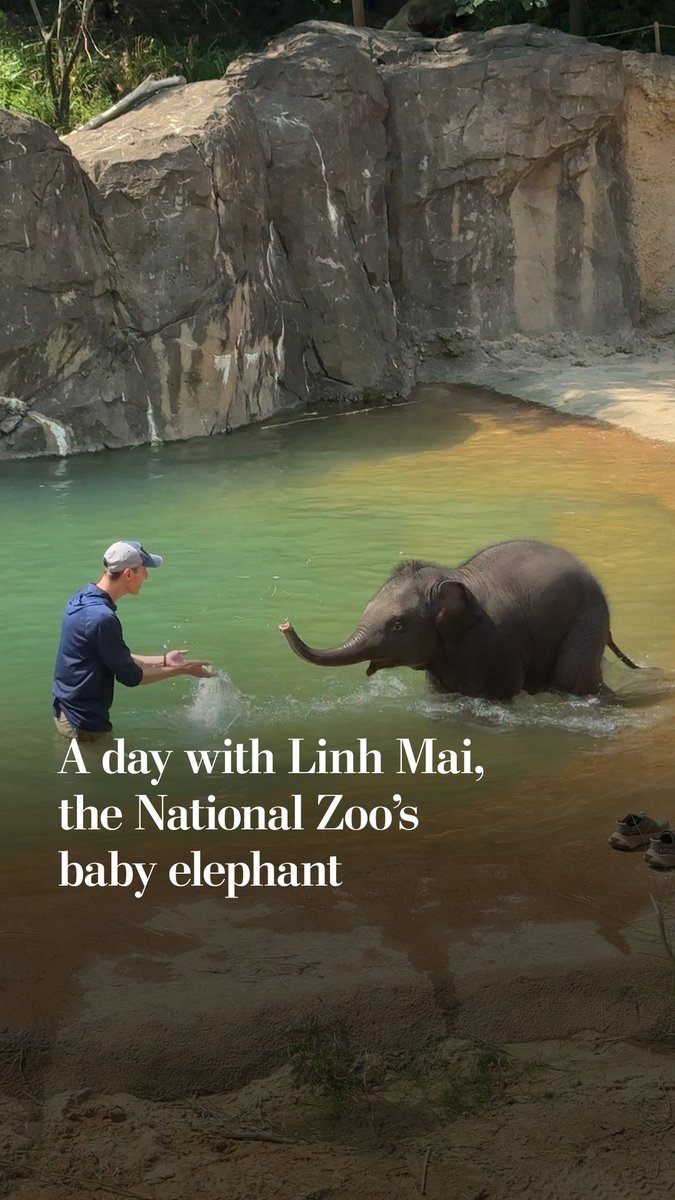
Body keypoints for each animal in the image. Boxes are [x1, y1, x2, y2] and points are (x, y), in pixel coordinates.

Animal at [279, 540, 639, 701]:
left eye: (397, 626)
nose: (284, 624)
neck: (451, 579)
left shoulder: (493, 642)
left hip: (586, 619)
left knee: (572, 680)